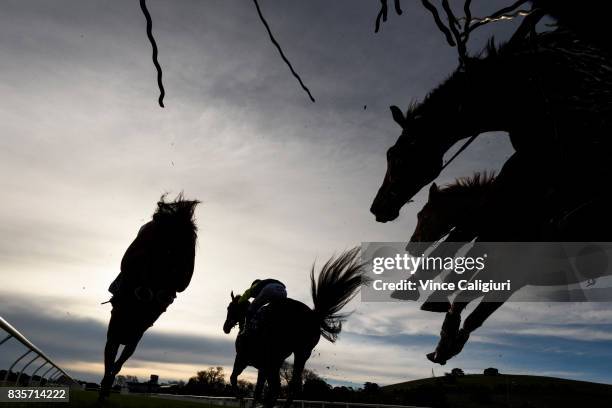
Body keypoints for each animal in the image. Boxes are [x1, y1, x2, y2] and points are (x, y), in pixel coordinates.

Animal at [222, 249, 366, 408]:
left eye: (229, 308)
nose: (225, 327)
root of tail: (314, 315)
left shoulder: (244, 359)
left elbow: (234, 379)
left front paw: (242, 399)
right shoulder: (266, 366)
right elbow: (260, 389)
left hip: (294, 353)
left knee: (288, 386)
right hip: (301, 354)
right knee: (292, 386)